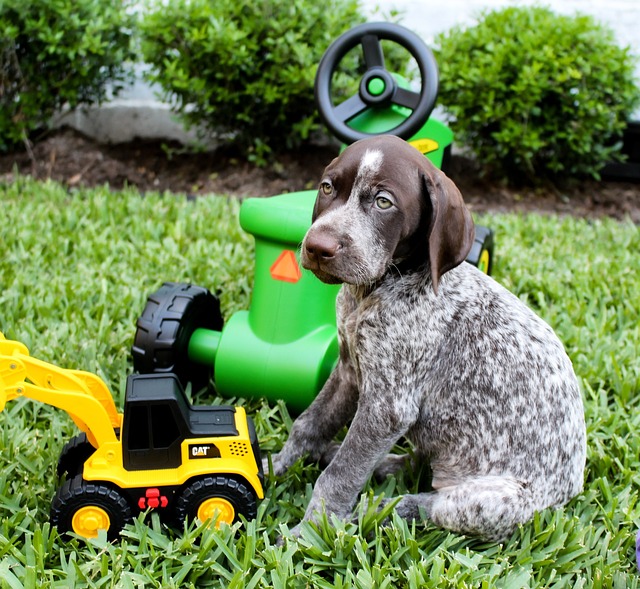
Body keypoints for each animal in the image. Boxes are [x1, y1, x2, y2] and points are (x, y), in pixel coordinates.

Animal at [268, 134, 588, 544]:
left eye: (383, 202)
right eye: (327, 188)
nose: (318, 248)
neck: (376, 289)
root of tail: (569, 491)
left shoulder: (387, 407)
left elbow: (340, 475)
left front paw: (311, 531)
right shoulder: (349, 373)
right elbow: (308, 424)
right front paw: (273, 467)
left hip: (492, 502)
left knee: (424, 503)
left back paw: (370, 511)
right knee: (416, 465)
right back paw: (377, 469)